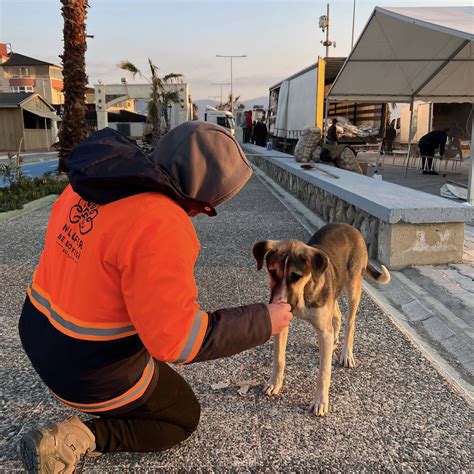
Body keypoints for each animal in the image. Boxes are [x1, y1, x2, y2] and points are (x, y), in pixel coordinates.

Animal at [252, 222, 388, 414]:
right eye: (272, 271)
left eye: (296, 276)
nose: (278, 303)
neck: (303, 294)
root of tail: (350, 228)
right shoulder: (283, 321)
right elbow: (278, 358)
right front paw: (274, 383)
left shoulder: (323, 330)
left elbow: (323, 372)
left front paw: (320, 402)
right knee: (337, 315)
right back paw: (335, 341)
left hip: (354, 287)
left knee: (350, 322)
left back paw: (346, 354)